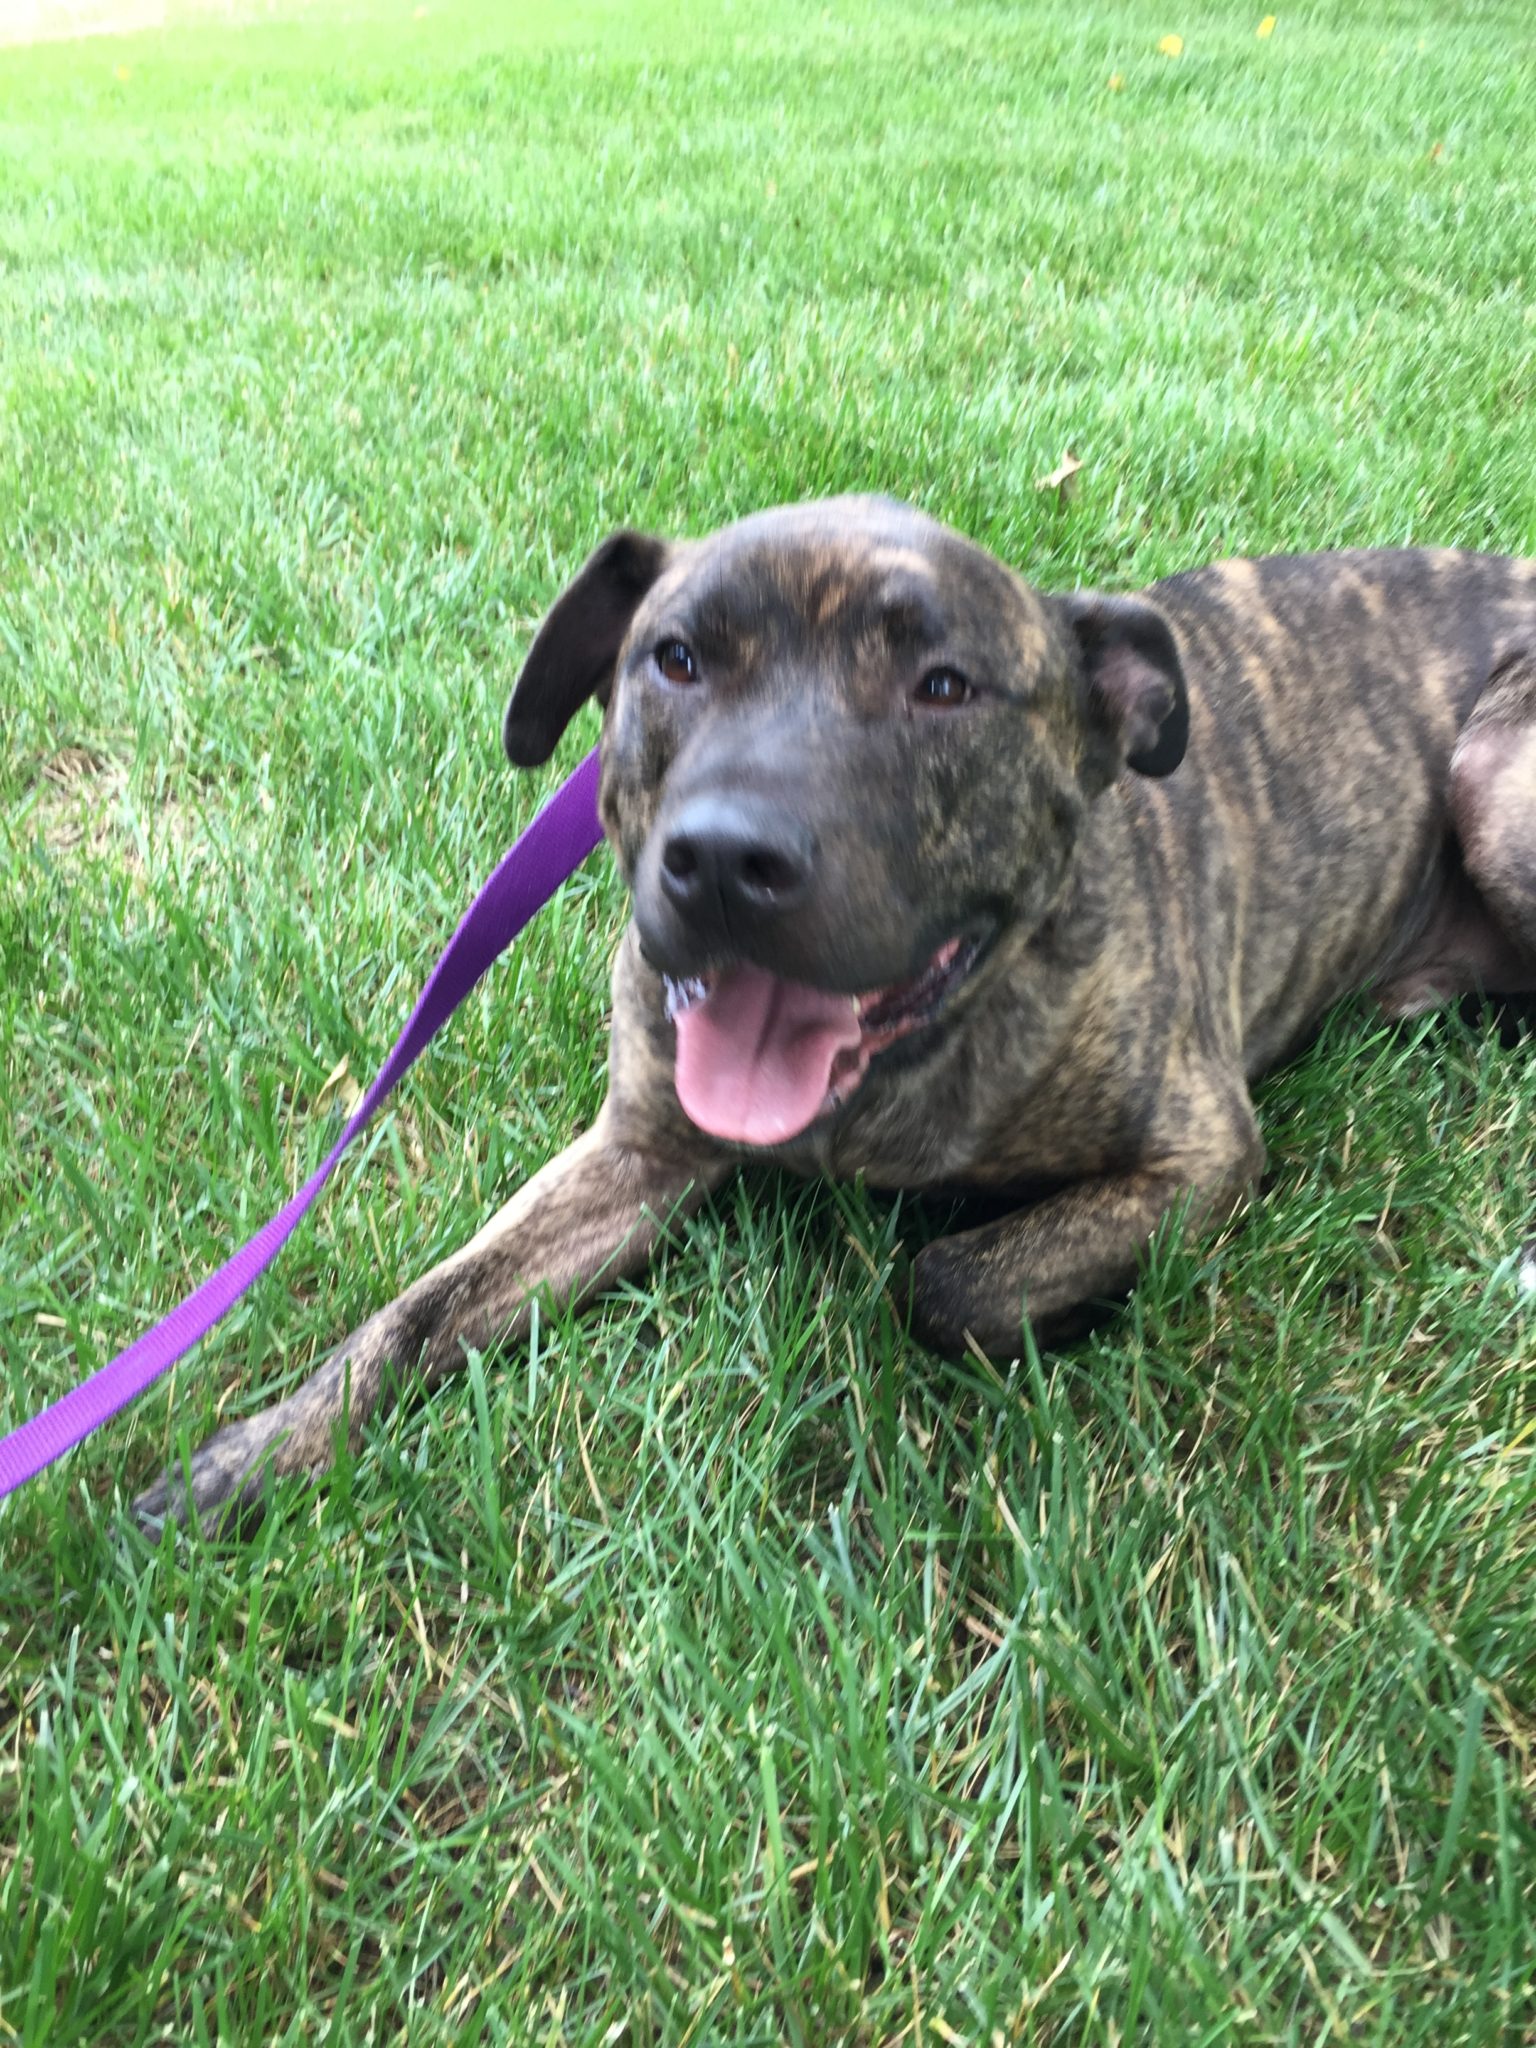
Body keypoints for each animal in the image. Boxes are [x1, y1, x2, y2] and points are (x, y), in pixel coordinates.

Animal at [129, 491, 1536, 1523]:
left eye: (945, 685)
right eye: (676, 660)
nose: (722, 859)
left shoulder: (1197, 1153)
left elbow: (945, 1280)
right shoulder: (637, 1150)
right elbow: (418, 1311)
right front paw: (258, 1449)